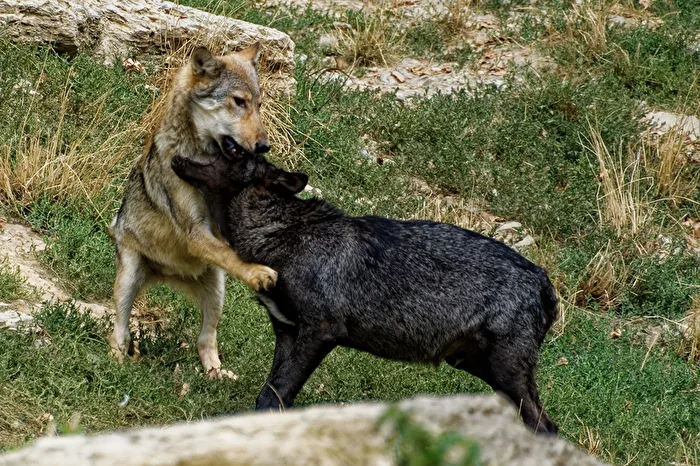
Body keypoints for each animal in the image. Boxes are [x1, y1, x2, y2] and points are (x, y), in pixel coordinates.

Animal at [108, 44, 278, 378]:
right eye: (239, 102)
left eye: (259, 105)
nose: (264, 146)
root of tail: (168, 276)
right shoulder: (195, 233)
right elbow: (231, 254)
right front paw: (257, 273)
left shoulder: (218, 226)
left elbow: (233, 248)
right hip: (129, 279)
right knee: (118, 332)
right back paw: (117, 365)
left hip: (216, 290)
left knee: (206, 339)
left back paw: (217, 374)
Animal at [170, 152, 560, 434]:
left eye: (232, 150)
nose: (177, 153)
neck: (283, 234)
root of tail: (544, 281)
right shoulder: (287, 333)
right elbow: (275, 397)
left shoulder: (322, 332)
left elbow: (271, 396)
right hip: (480, 368)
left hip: (505, 373)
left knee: (545, 426)